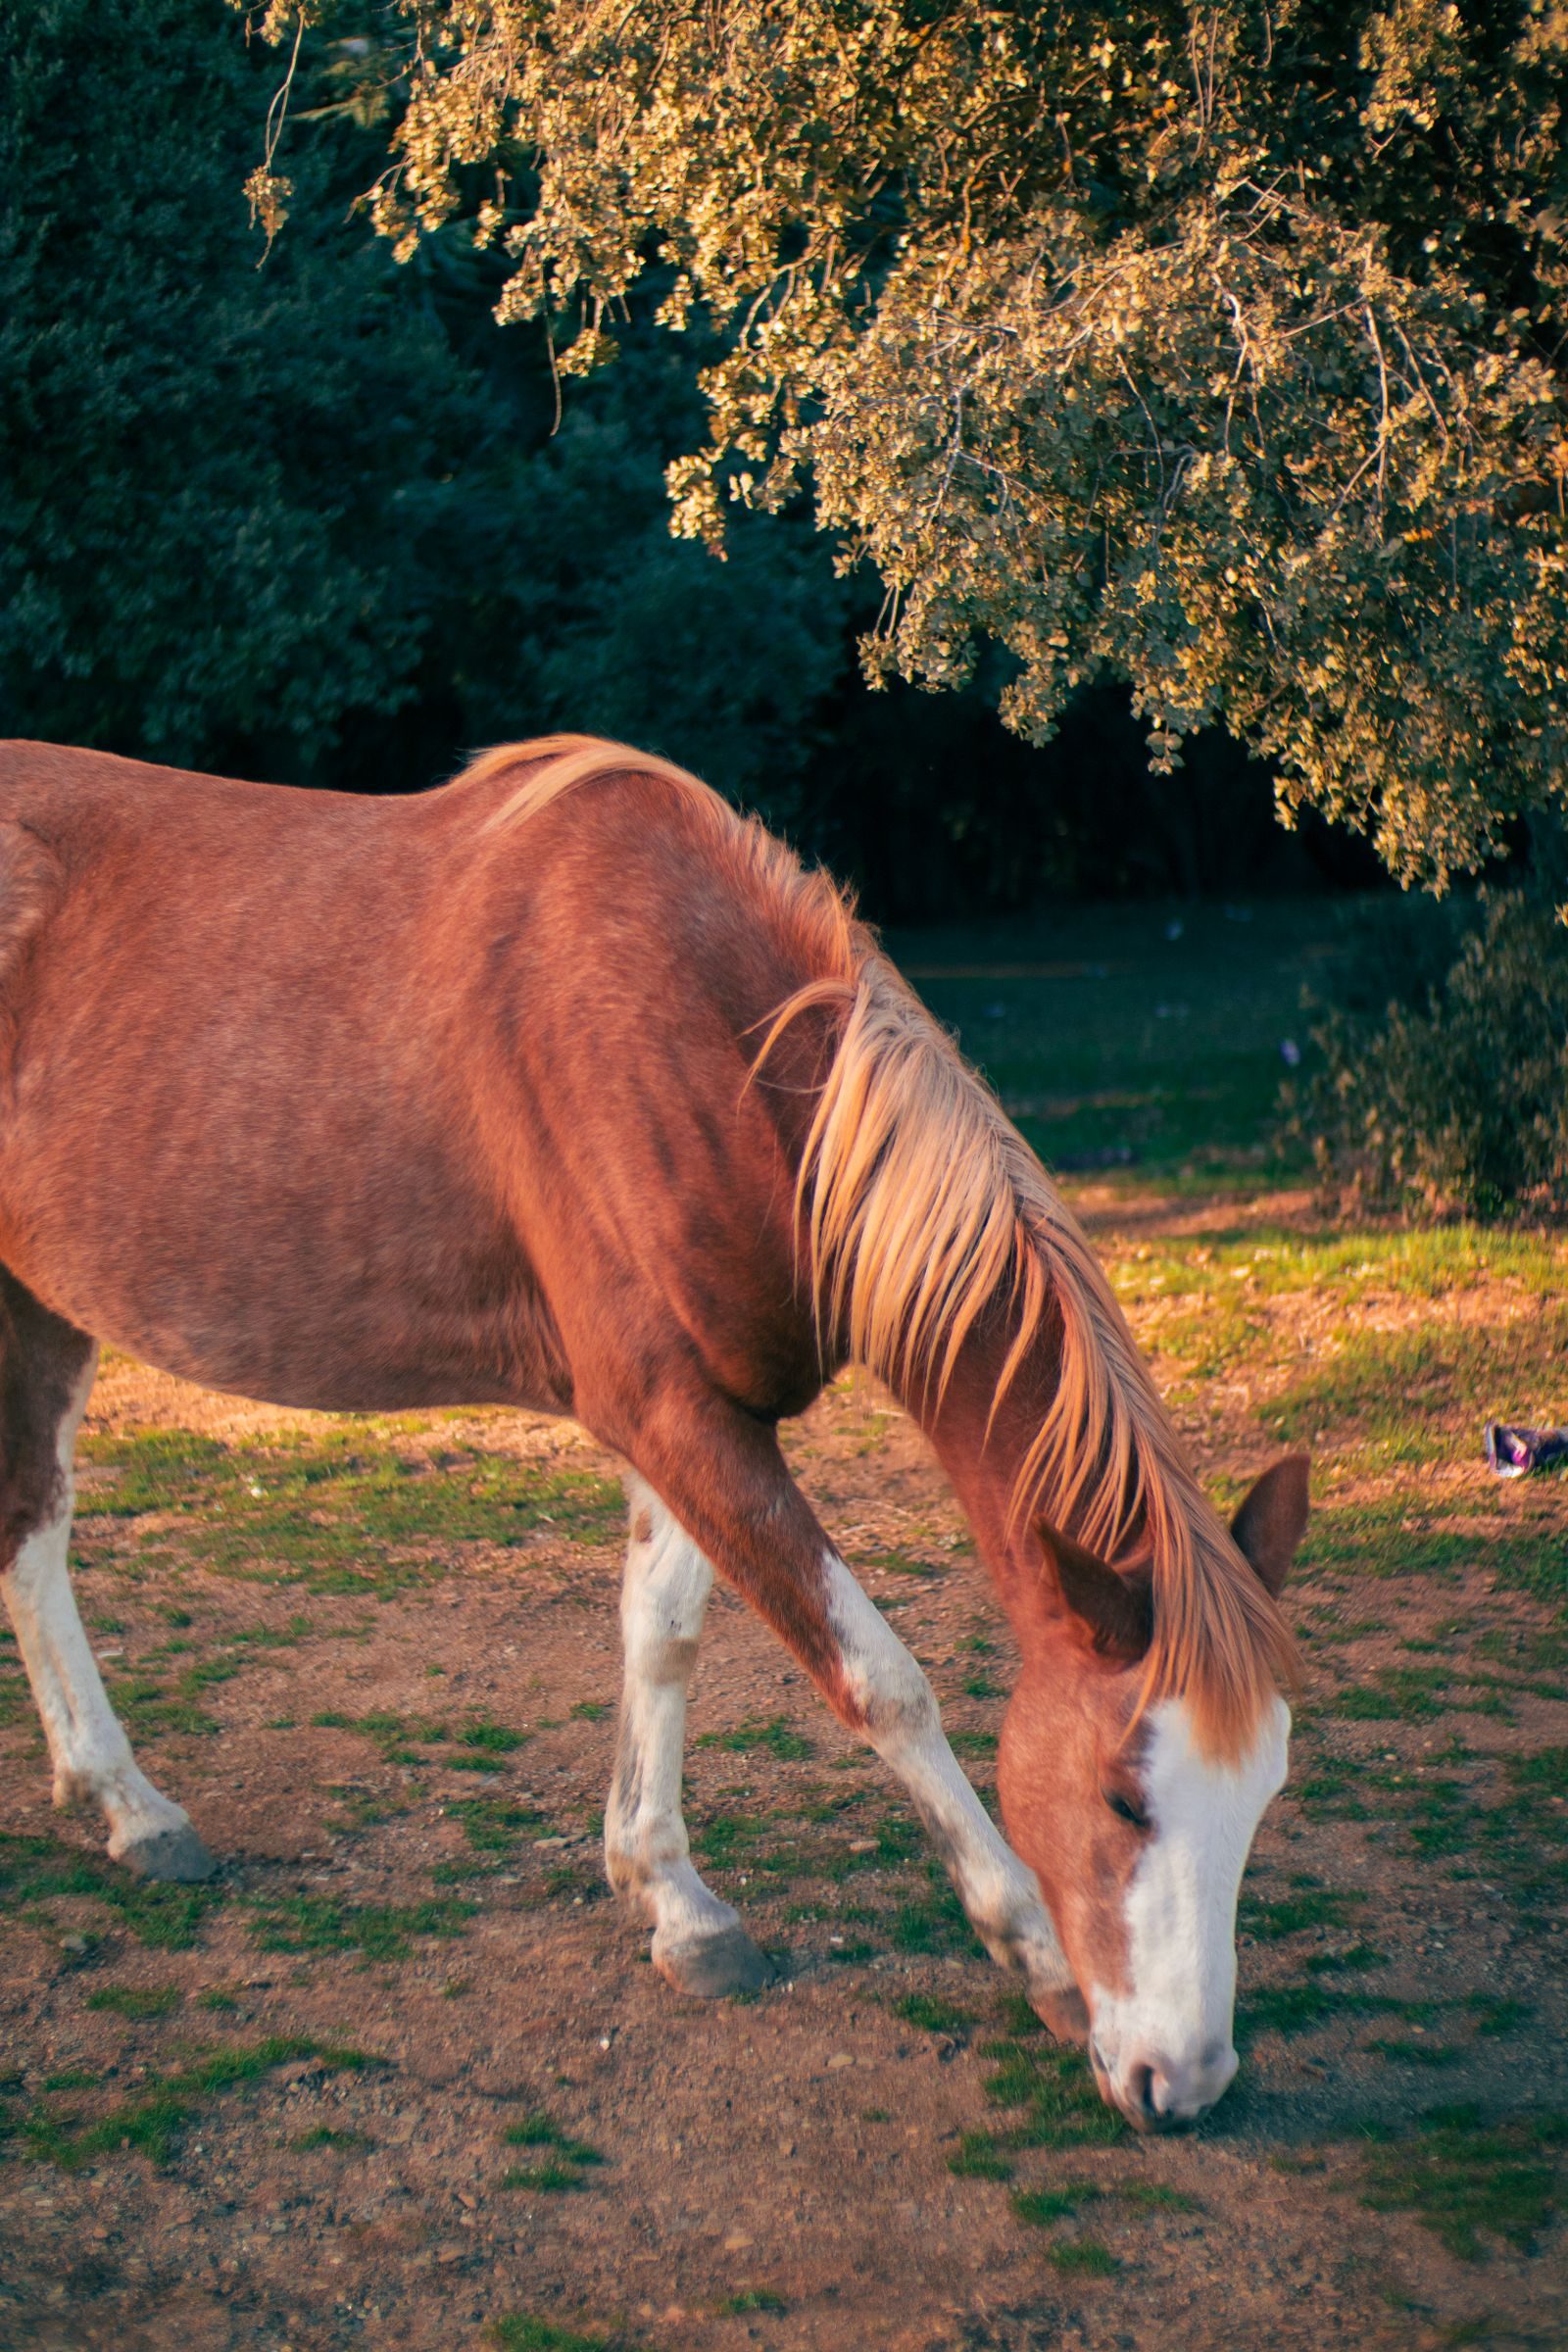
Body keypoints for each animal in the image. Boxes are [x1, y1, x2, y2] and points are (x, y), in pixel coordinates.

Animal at [0, 732, 1306, 2133]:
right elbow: (879, 1681)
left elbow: (661, 1639)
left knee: (31, 1531)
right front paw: (1031, 1949)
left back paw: (124, 1808)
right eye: (1123, 1797)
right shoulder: (678, 1419)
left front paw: (670, 1899)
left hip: (40, 1300)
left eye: (1266, 1790)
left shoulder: (686, 1418)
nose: (1187, 2081)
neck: (722, 1057)